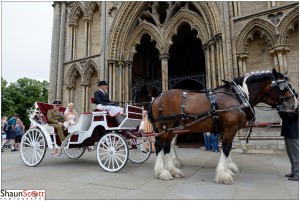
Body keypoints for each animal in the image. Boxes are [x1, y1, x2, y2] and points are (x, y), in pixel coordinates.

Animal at [148, 68, 296, 184]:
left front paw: (228, 169)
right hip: (164, 126)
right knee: (159, 145)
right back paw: (162, 172)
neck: (238, 96)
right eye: (283, 88)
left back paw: (173, 170)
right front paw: (224, 175)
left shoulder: (228, 130)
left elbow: (228, 148)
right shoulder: (230, 129)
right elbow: (226, 148)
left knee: (167, 146)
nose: (294, 105)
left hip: (173, 127)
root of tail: (157, 97)